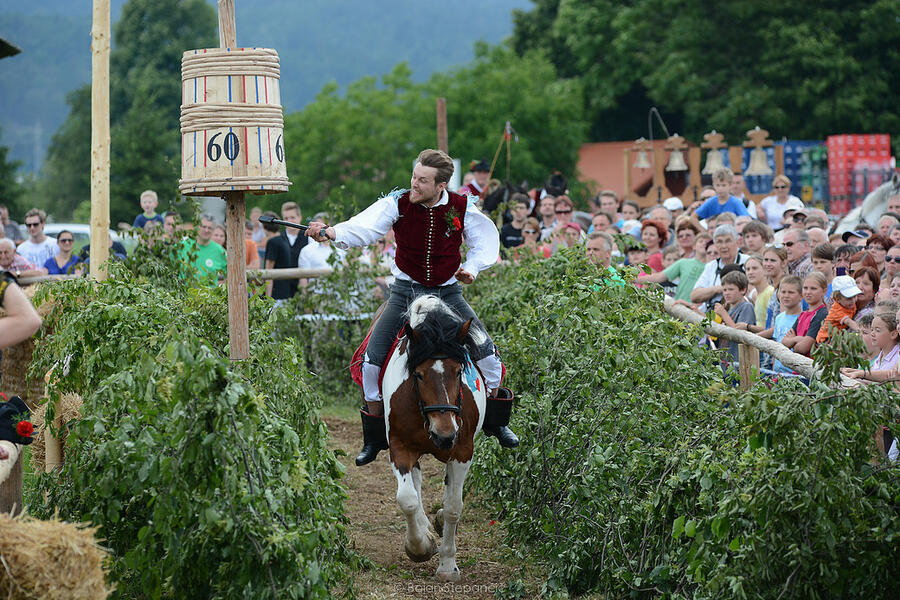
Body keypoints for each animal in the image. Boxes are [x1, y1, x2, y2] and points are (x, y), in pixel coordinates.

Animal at [384, 296, 488, 580]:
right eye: (418, 374)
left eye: (459, 371)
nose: (444, 435)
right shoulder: (400, 447)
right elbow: (407, 499)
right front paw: (420, 547)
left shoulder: (462, 451)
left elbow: (453, 506)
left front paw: (448, 565)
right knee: (416, 484)